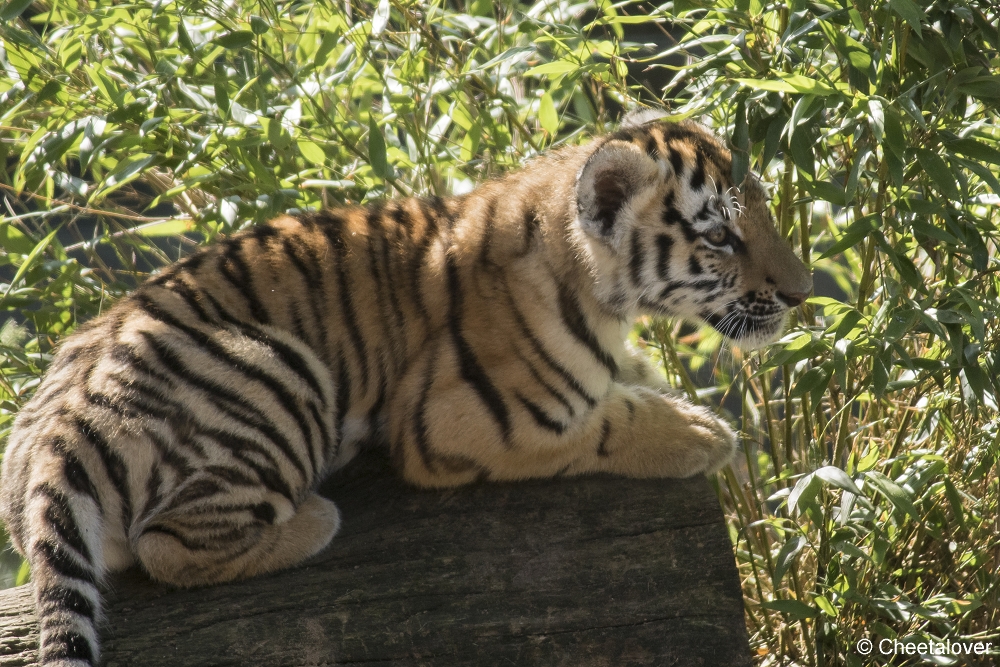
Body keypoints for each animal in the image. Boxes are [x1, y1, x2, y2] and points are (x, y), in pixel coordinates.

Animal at [0, 113, 812, 664]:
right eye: (721, 237)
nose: (803, 293)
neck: (603, 293)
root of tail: (51, 443)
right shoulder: (467, 418)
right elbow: (606, 421)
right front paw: (703, 434)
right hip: (280, 365)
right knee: (165, 548)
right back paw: (315, 519)